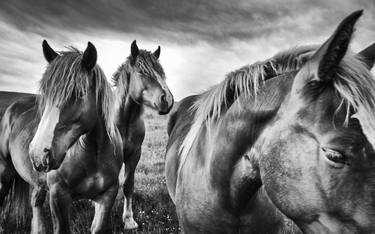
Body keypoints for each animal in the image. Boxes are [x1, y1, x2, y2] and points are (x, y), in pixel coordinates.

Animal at [0, 41, 122, 233]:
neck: (94, 154)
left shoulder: (107, 196)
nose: (38, 153)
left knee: (36, 204)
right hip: (4, 174)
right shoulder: (58, 196)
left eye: (79, 93)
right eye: (46, 95)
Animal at [113, 40, 175, 229]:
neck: (124, 120)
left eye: (161, 72)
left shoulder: (134, 155)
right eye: (141, 71)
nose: (167, 100)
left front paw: (128, 220)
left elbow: (128, 185)